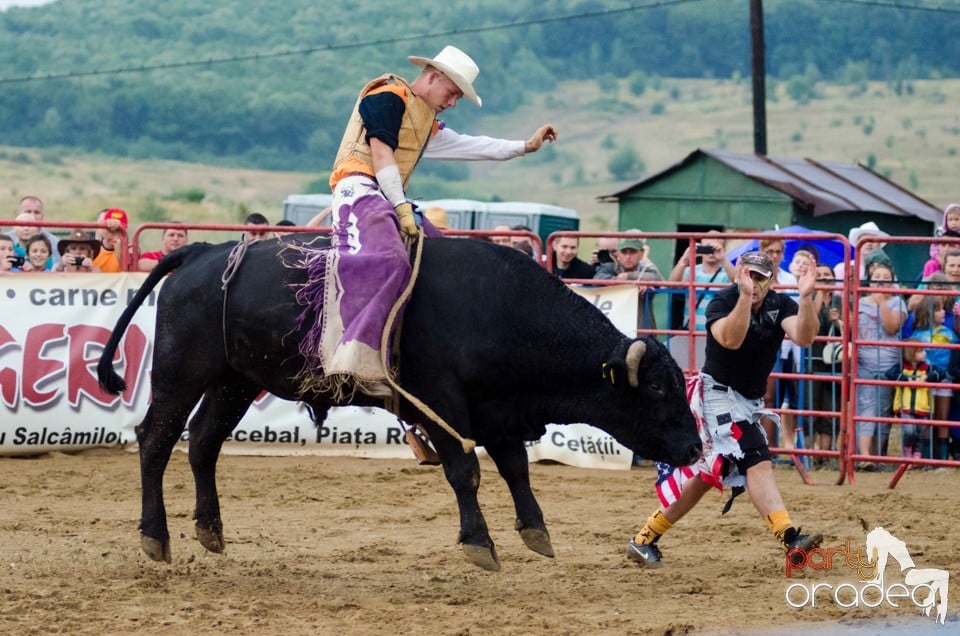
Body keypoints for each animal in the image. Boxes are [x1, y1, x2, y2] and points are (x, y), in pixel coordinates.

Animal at [95, 236, 696, 572]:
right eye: (660, 389)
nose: (694, 448)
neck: (495, 304)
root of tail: (201, 253)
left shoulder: (494, 407)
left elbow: (515, 468)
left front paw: (535, 532)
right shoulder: (440, 401)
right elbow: (465, 470)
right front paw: (480, 543)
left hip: (233, 383)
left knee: (203, 444)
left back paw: (210, 530)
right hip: (181, 373)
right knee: (156, 440)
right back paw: (156, 536)